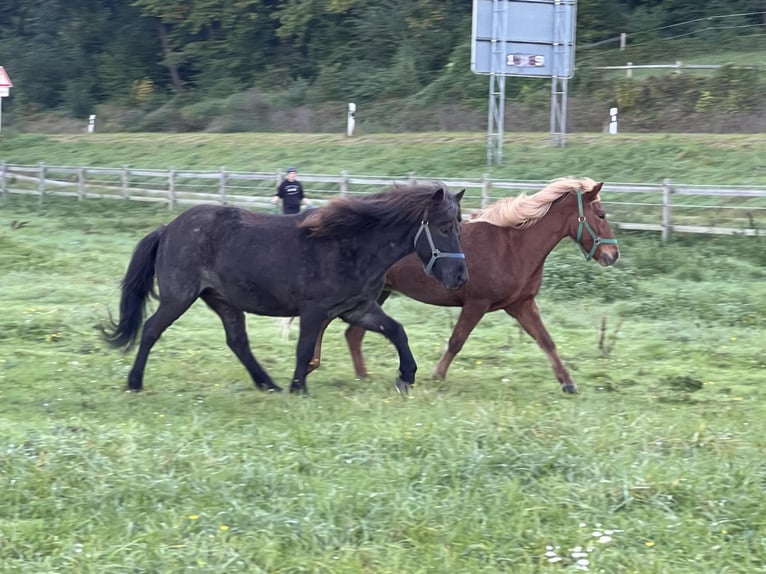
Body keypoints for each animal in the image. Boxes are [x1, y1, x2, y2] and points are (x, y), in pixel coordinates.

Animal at [102, 184, 468, 396]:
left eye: (459, 225)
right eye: (444, 227)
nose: (460, 277)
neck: (350, 244)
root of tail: (167, 229)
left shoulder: (357, 307)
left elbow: (396, 330)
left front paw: (406, 376)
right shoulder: (315, 310)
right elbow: (304, 349)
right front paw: (299, 387)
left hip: (223, 301)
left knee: (237, 342)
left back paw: (267, 384)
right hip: (179, 296)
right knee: (151, 330)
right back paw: (134, 383)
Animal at [336, 179, 616, 396]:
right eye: (601, 215)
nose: (613, 255)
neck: (513, 246)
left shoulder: (521, 305)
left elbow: (546, 341)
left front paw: (568, 384)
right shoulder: (476, 303)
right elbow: (456, 341)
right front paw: (436, 376)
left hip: (377, 294)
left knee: (353, 334)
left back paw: (364, 376)